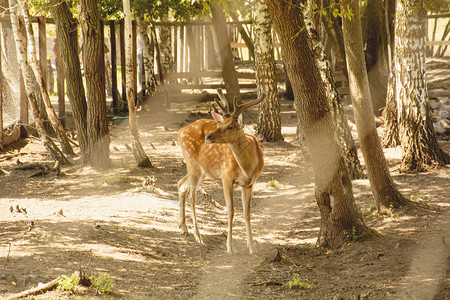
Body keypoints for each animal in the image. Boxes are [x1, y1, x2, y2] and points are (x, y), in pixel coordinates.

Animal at [178, 89, 266, 253]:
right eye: (221, 123)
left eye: (230, 126)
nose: (208, 136)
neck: (247, 168)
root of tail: (180, 131)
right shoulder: (226, 177)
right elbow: (231, 210)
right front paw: (230, 247)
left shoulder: (250, 183)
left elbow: (247, 213)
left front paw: (252, 248)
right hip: (192, 163)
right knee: (192, 196)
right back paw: (198, 236)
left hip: (202, 170)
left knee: (181, 184)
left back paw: (183, 228)